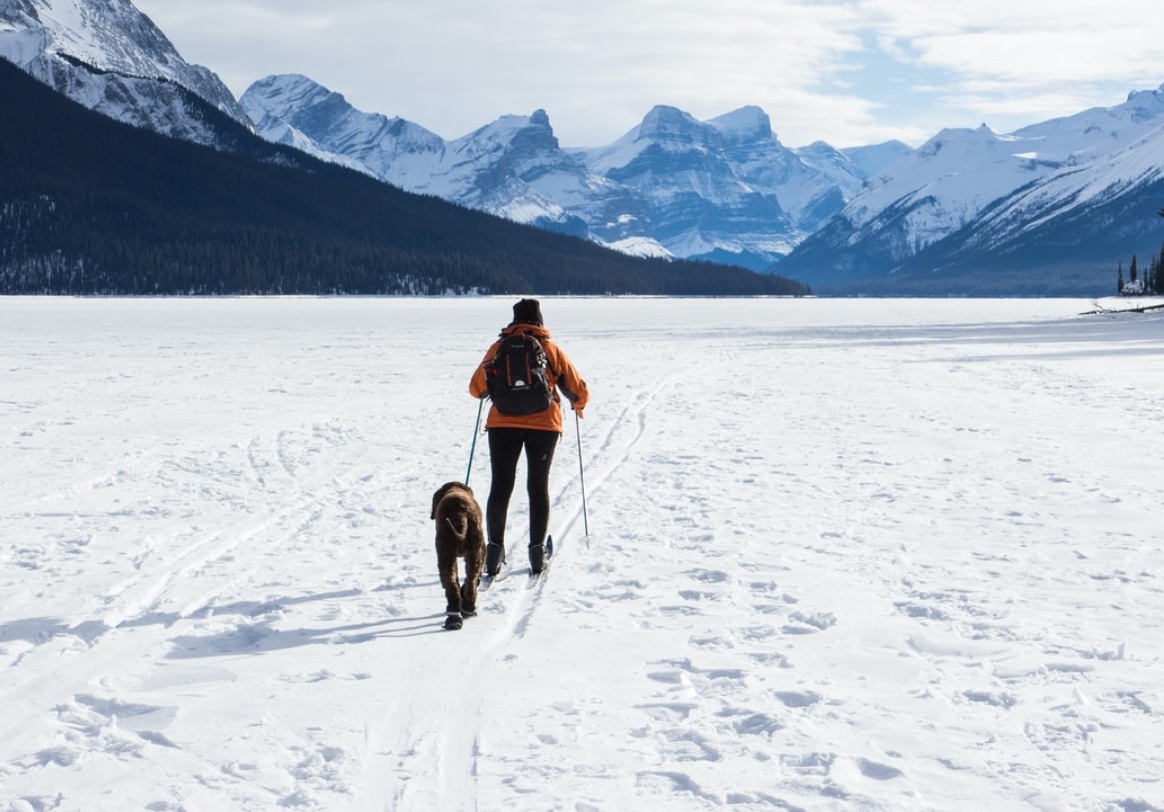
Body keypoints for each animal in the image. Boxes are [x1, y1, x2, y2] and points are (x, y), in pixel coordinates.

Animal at [430, 476, 484, 628]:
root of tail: (460, 515)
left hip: (447, 553)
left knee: (456, 584)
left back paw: (456, 616)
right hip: (472, 552)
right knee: (469, 582)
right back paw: (465, 611)